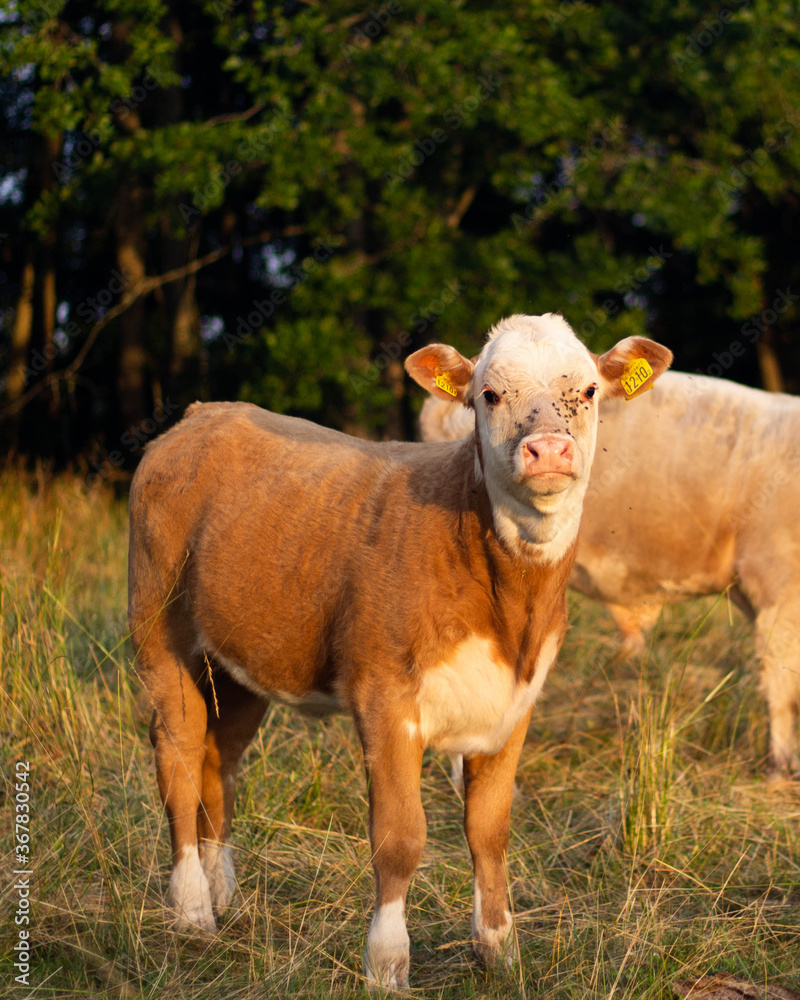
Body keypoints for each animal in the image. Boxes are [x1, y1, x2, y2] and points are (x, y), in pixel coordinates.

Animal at [130, 316, 668, 988]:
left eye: (590, 390)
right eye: (488, 394)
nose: (548, 449)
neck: (510, 606)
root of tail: (201, 415)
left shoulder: (515, 703)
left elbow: (490, 830)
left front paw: (499, 950)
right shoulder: (384, 695)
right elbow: (400, 836)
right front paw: (387, 962)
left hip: (240, 663)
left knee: (218, 759)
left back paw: (220, 888)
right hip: (160, 630)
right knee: (177, 755)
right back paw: (192, 908)